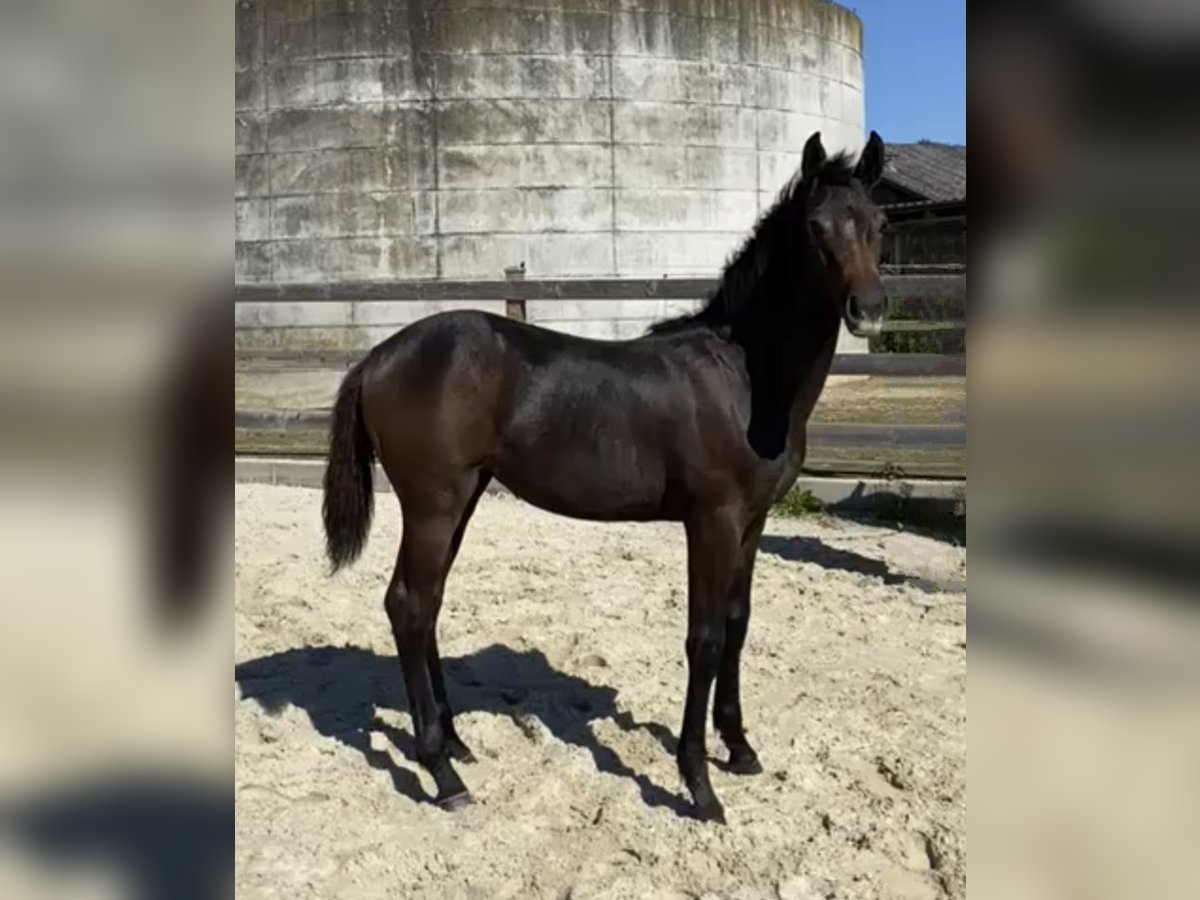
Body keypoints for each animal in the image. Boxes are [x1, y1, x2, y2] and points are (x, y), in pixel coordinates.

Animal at [324, 132, 888, 825]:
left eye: (879, 223)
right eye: (816, 227)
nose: (869, 310)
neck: (746, 379)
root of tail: (376, 358)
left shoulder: (752, 522)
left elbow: (738, 624)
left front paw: (740, 748)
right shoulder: (712, 521)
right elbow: (704, 638)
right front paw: (700, 786)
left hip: (463, 499)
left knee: (426, 604)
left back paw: (455, 742)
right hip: (434, 503)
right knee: (406, 603)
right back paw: (443, 772)